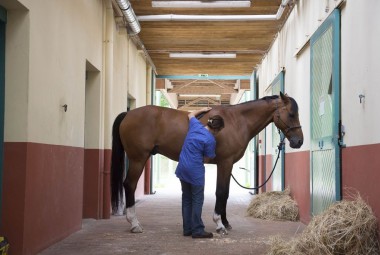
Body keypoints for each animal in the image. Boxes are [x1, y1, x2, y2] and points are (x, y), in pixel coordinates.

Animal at [110, 92, 302, 234]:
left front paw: (225, 221)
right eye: (291, 114)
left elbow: (225, 193)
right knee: (130, 185)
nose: (299, 141)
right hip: (138, 158)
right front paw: (219, 224)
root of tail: (128, 114)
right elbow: (221, 192)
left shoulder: (228, 165)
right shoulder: (225, 163)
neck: (236, 121)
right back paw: (134, 223)